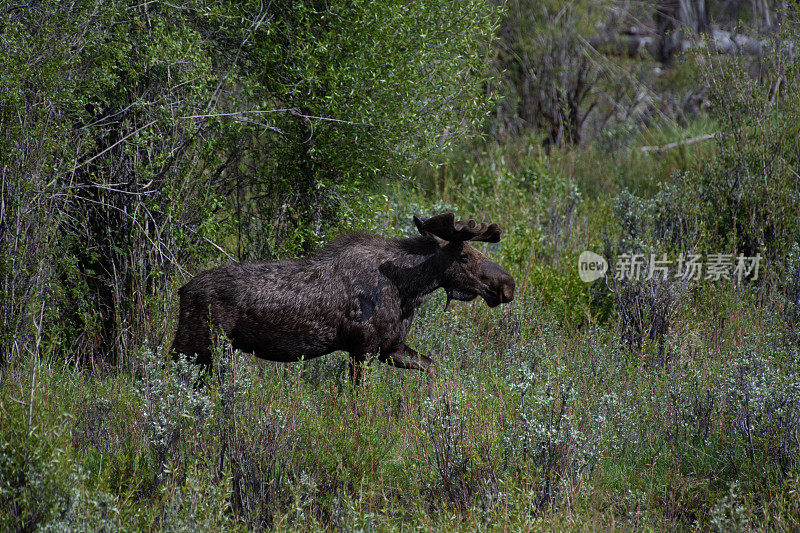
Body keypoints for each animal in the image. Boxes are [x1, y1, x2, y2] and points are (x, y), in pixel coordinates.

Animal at [171, 213, 516, 386]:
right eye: (464, 256)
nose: (507, 285)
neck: (408, 289)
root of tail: (183, 290)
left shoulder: (390, 348)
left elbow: (433, 367)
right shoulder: (363, 349)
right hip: (196, 344)